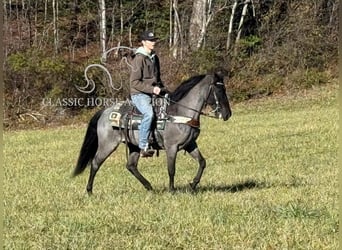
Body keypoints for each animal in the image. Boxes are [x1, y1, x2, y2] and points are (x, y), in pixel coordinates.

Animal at [73, 72, 232, 193]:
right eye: (219, 91)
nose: (228, 114)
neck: (180, 112)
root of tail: (104, 112)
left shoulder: (190, 144)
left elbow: (202, 162)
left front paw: (193, 184)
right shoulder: (171, 147)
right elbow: (171, 169)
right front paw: (172, 190)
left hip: (134, 147)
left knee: (131, 166)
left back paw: (149, 187)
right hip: (108, 145)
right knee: (95, 163)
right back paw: (89, 191)